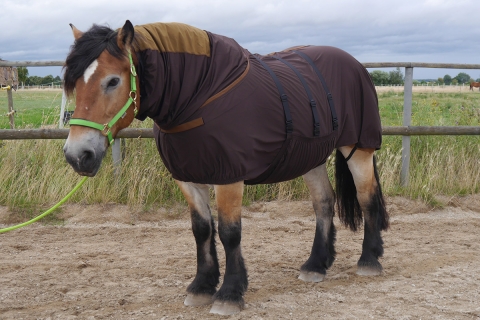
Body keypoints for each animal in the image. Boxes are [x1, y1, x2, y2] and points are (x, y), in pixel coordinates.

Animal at [62, 20, 388, 316]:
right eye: (74, 83)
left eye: (113, 81)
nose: (78, 155)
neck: (200, 95)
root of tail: (354, 64)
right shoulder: (187, 177)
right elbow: (202, 230)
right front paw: (201, 287)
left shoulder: (229, 175)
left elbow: (230, 233)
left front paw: (229, 294)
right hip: (311, 157)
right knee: (324, 203)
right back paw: (316, 265)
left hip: (357, 149)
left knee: (367, 198)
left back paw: (369, 261)